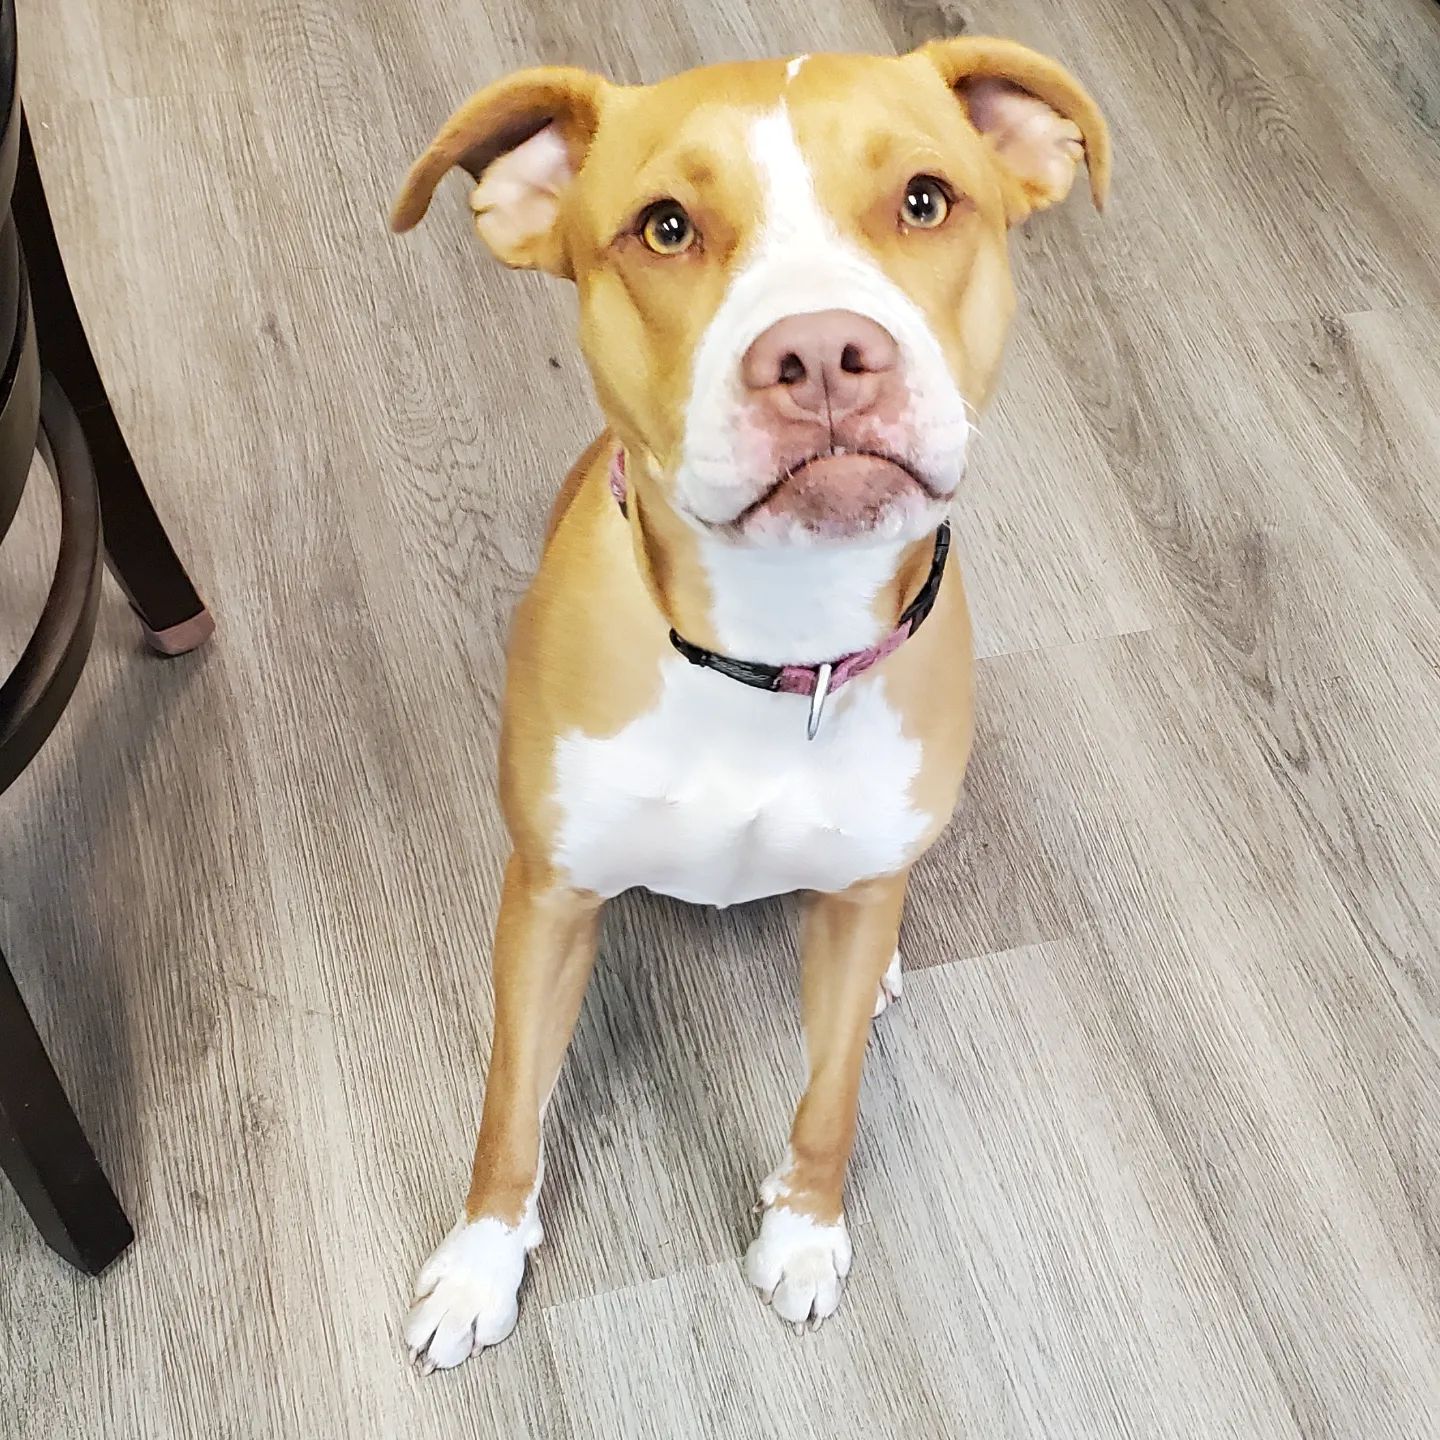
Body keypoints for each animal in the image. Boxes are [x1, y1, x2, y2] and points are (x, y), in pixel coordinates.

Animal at [391, 36, 1108, 1372]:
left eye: (925, 199)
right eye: (666, 226)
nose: (823, 351)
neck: (780, 644)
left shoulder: (859, 899)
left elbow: (830, 1098)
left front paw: (806, 1233)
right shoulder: (550, 899)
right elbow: (510, 1105)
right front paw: (477, 1267)